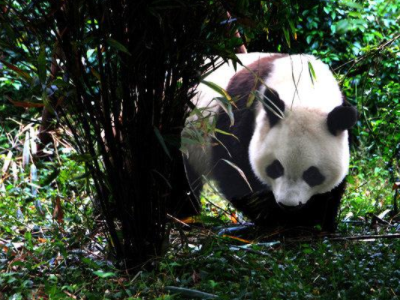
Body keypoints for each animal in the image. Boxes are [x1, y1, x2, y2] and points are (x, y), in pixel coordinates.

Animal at [183, 53, 358, 232]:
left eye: (312, 174)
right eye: (276, 167)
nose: (288, 205)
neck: (304, 87)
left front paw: (317, 219)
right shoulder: (239, 112)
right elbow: (237, 173)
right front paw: (277, 219)